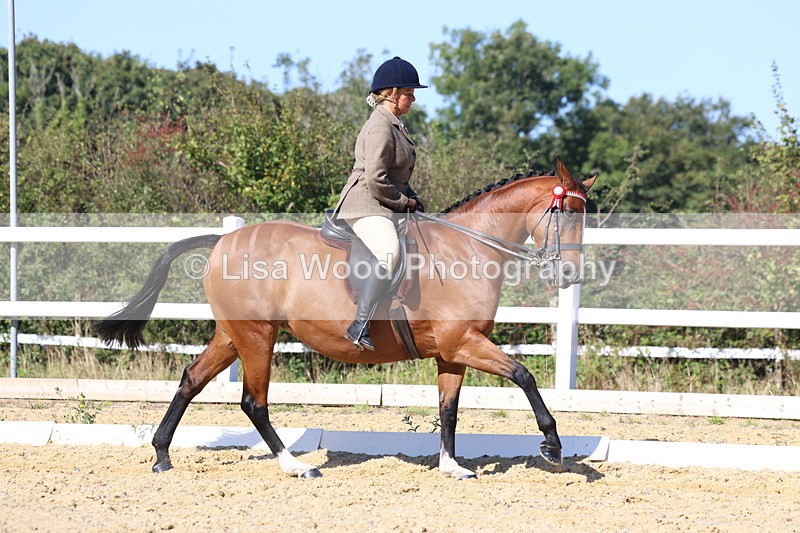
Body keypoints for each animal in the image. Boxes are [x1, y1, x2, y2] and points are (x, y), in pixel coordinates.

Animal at [94, 157, 596, 479]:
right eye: (566, 212)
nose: (569, 273)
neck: (468, 248)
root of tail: (222, 241)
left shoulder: (452, 352)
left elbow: (448, 410)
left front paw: (452, 466)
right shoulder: (463, 343)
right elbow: (524, 375)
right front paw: (552, 446)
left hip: (233, 336)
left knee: (191, 380)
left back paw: (162, 455)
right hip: (257, 337)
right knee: (254, 402)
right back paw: (295, 466)